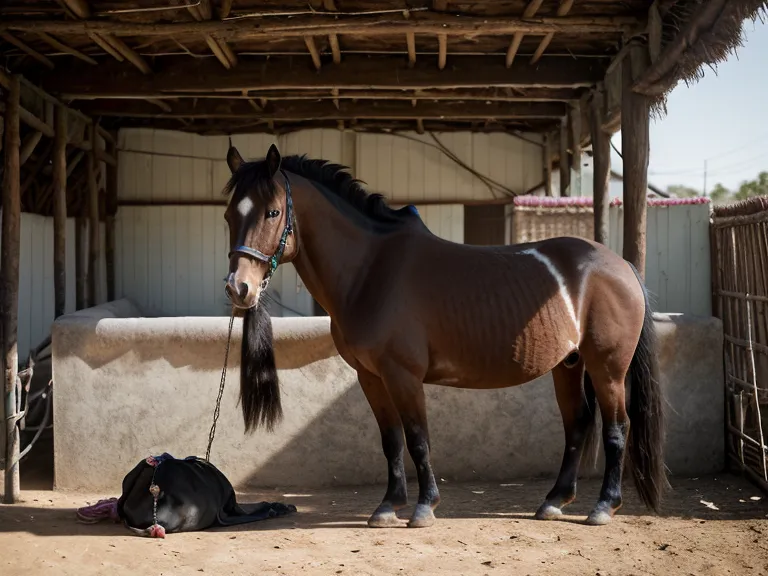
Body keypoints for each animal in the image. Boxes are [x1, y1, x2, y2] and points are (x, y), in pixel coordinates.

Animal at [222, 143, 667, 529]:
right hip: (569, 365)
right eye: (228, 215)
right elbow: (391, 440)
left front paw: (423, 507)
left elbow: (418, 439)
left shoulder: (403, 375)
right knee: (577, 424)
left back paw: (604, 506)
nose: (239, 288)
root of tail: (621, 265)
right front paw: (388, 506)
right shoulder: (371, 377)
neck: (372, 270)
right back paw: (554, 502)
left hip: (607, 368)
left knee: (617, 428)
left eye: (273, 212)